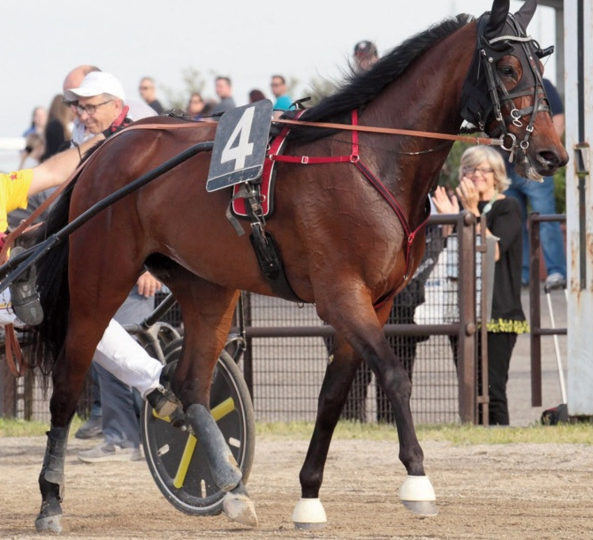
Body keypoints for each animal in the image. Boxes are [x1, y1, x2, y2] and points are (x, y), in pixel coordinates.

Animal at [31, 0, 564, 532]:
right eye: (508, 67)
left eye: (540, 70)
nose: (551, 154)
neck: (373, 159)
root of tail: (106, 148)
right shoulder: (342, 295)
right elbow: (393, 375)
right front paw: (417, 480)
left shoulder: (375, 301)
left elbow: (332, 397)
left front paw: (309, 496)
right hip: (99, 279)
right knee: (69, 383)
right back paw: (51, 501)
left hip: (206, 287)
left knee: (189, 384)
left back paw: (231, 487)